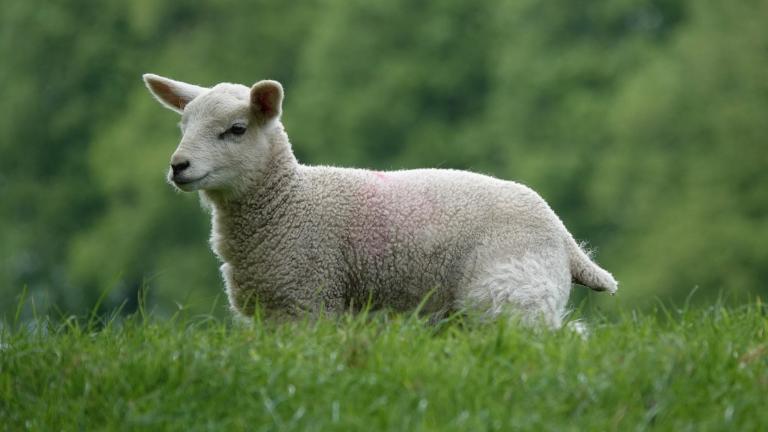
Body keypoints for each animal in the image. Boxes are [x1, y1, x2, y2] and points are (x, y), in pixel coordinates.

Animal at [142, 73, 618, 328]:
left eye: (237, 130)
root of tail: (564, 236)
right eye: (183, 124)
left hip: (512, 297)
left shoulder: (310, 302)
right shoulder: (271, 314)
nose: (178, 166)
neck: (288, 202)